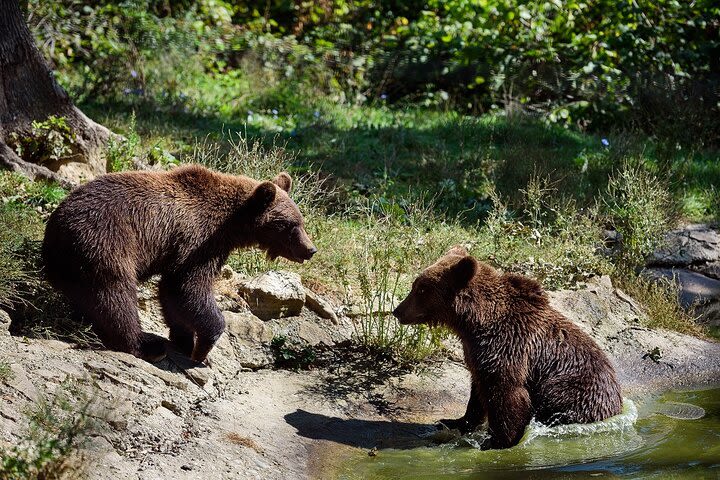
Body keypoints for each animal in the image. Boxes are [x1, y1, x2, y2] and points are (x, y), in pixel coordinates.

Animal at [42, 165, 316, 364]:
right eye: (290, 225)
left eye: (301, 221)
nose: (310, 249)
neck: (232, 225)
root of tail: (55, 230)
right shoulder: (198, 241)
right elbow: (187, 287)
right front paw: (202, 348)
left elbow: (172, 294)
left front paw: (184, 340)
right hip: (106, 243)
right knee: (115, 295)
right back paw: (145, 345)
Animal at [390, 248, 620, 450]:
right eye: (415, 285)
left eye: (421, 289)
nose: (397, 310)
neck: (474, 322)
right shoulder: (477, 353)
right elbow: (477, 390)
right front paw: (454, 421)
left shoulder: (509, 346)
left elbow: (507, 393)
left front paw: (497, 441)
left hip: (573, 392)